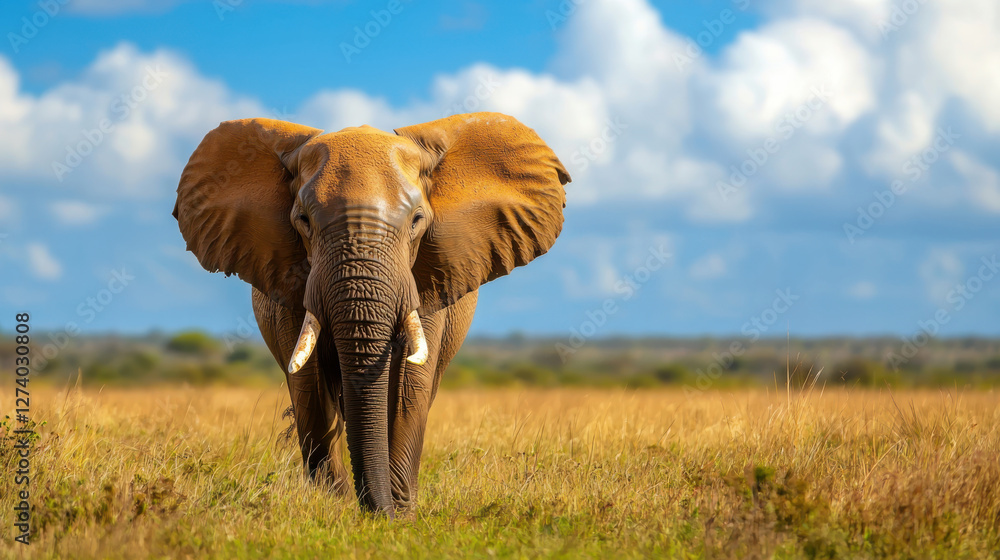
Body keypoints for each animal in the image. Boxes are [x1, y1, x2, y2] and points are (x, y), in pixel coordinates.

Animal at [172, 112, 570, 517]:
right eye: (303, 220)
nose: (377, 512)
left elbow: (411, 386)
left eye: (417, 220)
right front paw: (333, 509)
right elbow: (309, 387)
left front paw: (399, 516)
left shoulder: (424, 279)